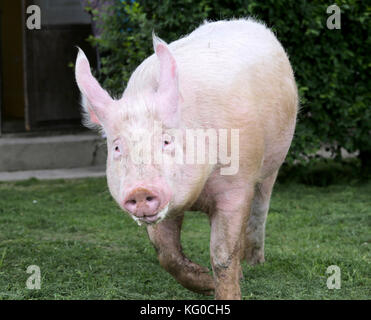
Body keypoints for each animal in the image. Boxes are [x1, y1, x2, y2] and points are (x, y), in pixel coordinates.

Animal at [75, 18, 300, 300]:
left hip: (273, 162)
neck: (197, 197)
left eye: (166, 141)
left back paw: (254, 262)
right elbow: (166, 254)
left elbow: (223, 254)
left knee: (260, 209)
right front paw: (206, 281)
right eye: (117, 147)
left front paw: (223, 290)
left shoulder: (237, 185)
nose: (140, 190)